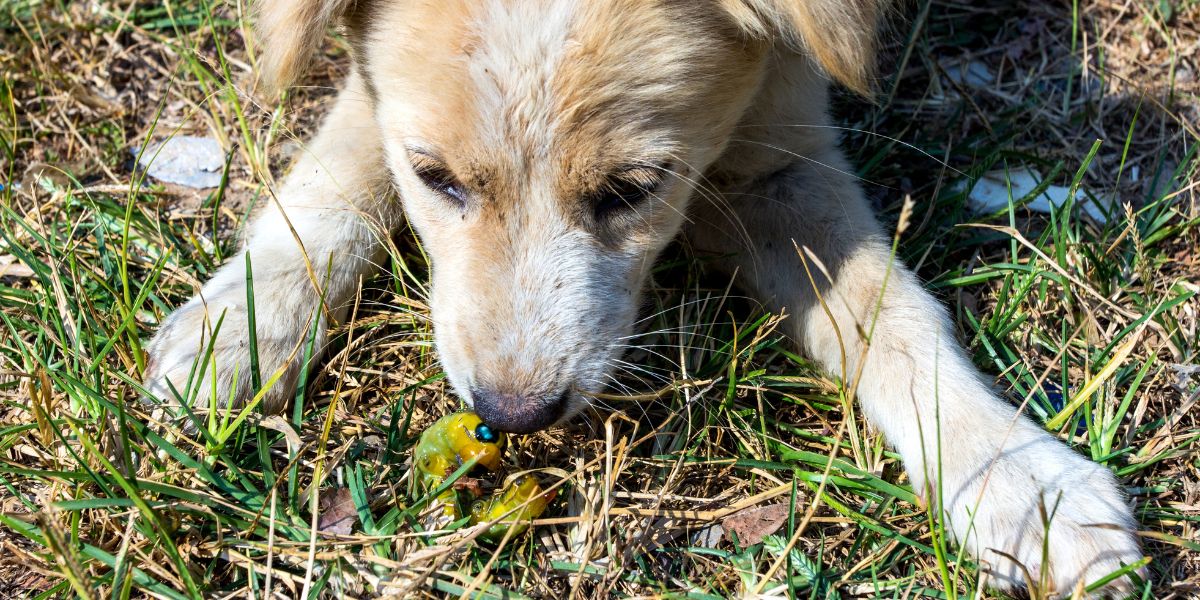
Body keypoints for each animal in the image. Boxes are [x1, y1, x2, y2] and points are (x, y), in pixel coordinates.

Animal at [145, 0, 1147, 595]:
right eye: (435, 179)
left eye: (632, 190)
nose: (514, 414)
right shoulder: (373, 98)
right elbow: (327, 189)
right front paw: (237, 331)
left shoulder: (784, 156)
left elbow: (894, 315)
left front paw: (1016, 478)